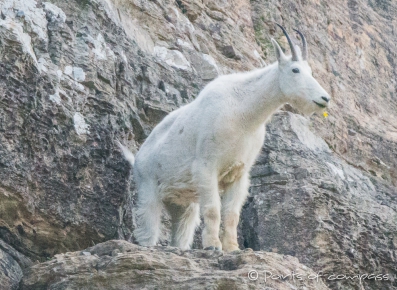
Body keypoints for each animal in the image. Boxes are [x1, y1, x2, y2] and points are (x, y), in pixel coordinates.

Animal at [119, 24, 330, 251]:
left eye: (310, 71)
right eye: (295, 70)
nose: (324, 98)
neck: (244, 114)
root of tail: (138, 155)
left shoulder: (239, 173)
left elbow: (232, 214)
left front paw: (232, 247)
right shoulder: (207, 166)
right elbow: (213, 210)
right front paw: (213, 245)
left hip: (183, 203)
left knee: (182, 229)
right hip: (148, 187)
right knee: (148, 225)